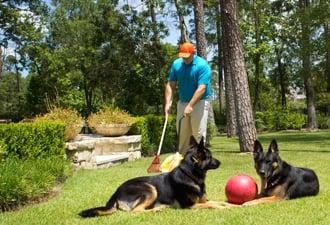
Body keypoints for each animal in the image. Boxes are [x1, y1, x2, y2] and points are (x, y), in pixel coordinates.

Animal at [79, 136, 231, 217]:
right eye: (210, 157)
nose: (220, 162)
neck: (190, 175)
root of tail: (115, 193)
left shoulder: (203, 200)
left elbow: (217, 201)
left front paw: (230, 205)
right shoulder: (190, 206)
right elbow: (212, 204)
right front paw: (224, 208)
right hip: (150, 189)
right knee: (135, 211)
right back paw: (157, 209)